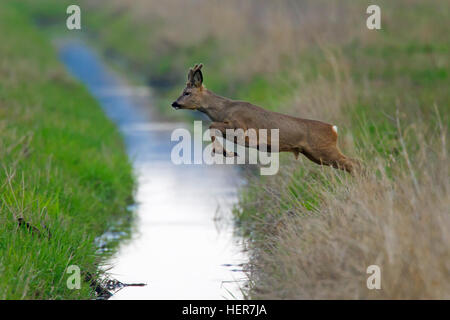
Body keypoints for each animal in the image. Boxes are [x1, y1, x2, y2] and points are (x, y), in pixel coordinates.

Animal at [171, 63, 360, 174]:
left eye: (187, 92)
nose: (174, 103)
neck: (224, 110)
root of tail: (333, 129)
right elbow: (212, 126)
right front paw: (227, 152)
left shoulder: (242, 129)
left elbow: (211, 125)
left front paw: (227, 152)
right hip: (315, 154)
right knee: (353, 162)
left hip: (323, 149)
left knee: (354, 163)